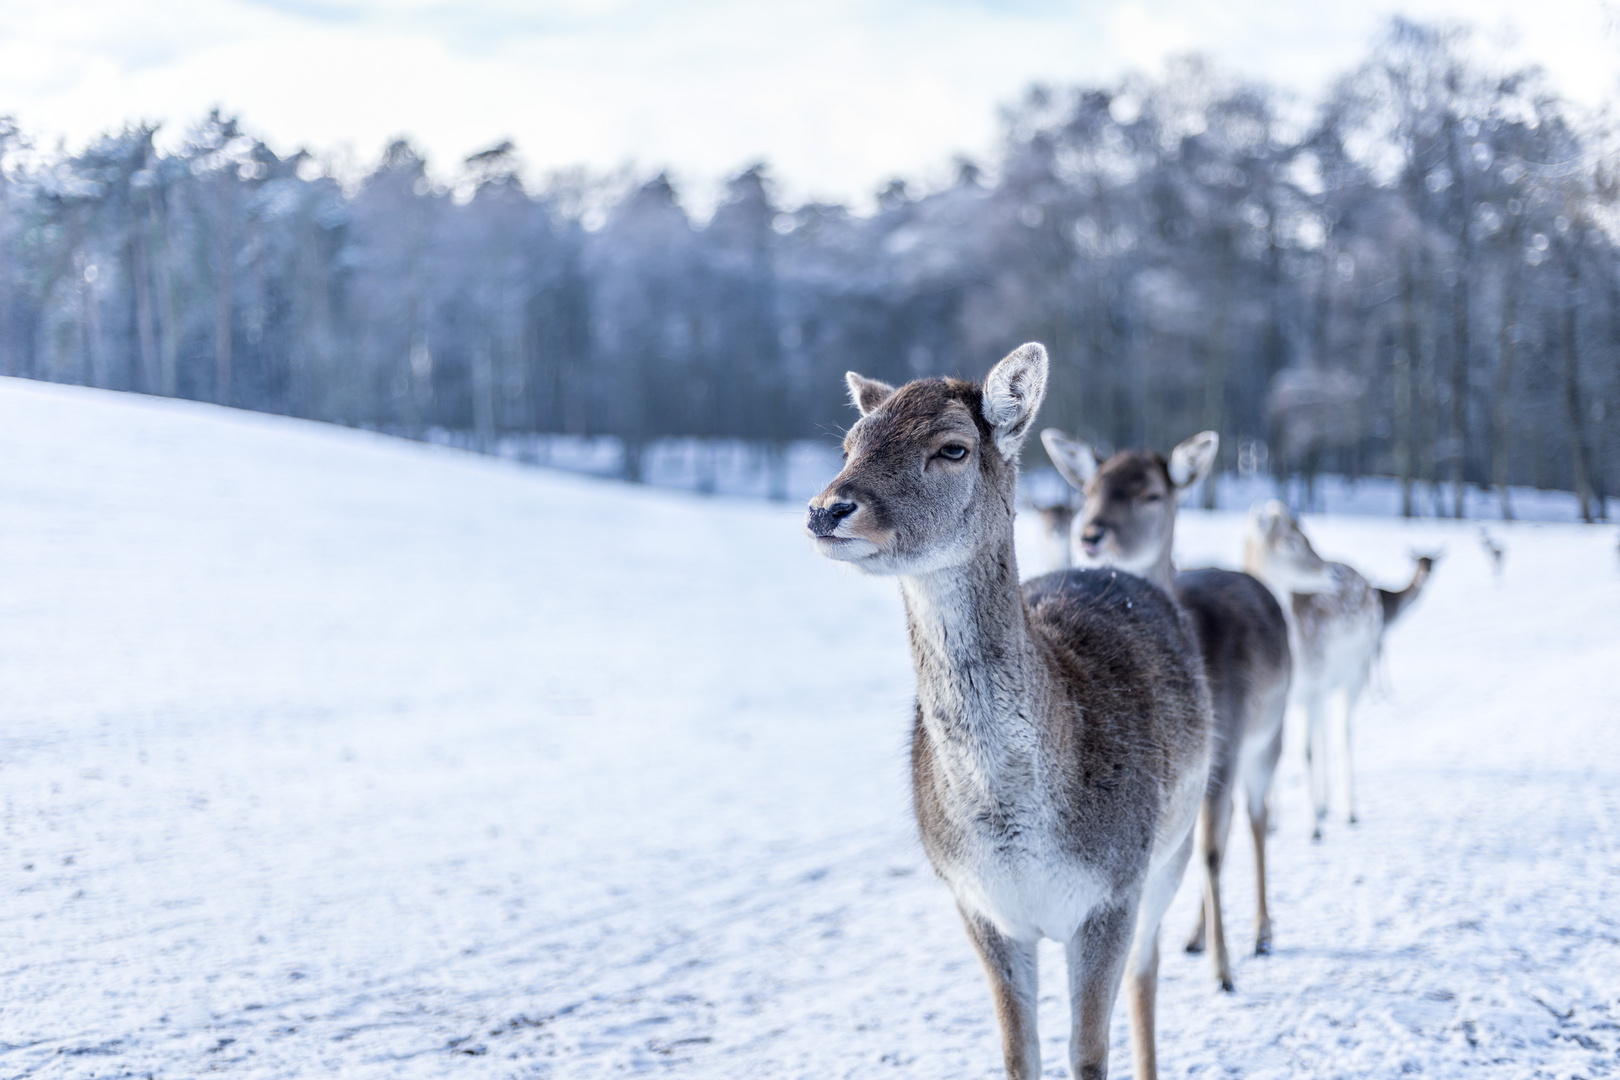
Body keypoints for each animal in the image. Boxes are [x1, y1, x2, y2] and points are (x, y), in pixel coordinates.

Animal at [803, 346, 1211, 1080]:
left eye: (952, 448)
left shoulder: (1114, 892)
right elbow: (1020, 1053)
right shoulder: (977, 903)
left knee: (1149, 970)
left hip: (1176, 847)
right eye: (850, 443)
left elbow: (1088, 1053)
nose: (828, 508)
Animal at [1043, 430, 1296, 997]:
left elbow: (1213, 851)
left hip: (1270, 735)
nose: (1090, 534)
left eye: (1152, 493)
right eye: (1088, 489)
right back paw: (1198, 935)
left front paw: (1225, 973)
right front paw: (1207, 950)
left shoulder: (1227, 744)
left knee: (1255, 819)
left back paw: (1263, 933)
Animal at [1244, 501, 1438, 841]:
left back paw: (1348, 811)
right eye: (1291, 541)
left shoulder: (1311, 688)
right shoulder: (1281, 700)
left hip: (1354, 672)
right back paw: (1325, 805)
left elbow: (1305, 751)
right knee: (1325, 731)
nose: (1332, 572)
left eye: (1307, 534)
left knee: (1342, 733)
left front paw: (1313, 829)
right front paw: (1274, 824)